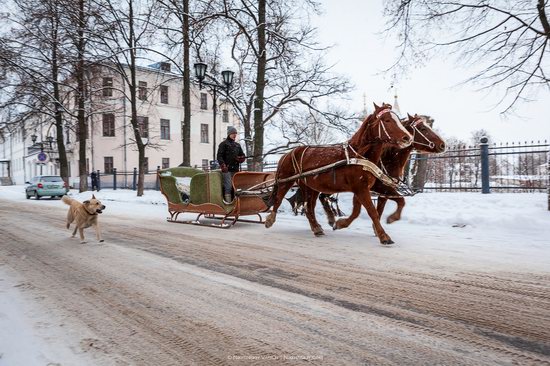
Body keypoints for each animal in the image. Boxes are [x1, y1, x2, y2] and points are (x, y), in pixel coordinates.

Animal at [268, 103, 414, 244]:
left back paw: (317, 228)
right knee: (279, 198)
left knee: (309, 207)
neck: (358, 155)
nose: (407, 138)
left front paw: (341, 223)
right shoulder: (360, 188)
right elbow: (372, 212)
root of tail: (287, 154)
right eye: (387, 120)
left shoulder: (366, 187)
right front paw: (384, 236)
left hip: (310, 187)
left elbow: (361, 210)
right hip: (286, 180)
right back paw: (270, 219)